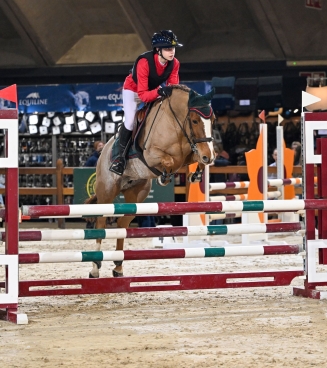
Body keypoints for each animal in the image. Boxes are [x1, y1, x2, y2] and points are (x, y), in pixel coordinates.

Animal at [86, 83, 217, 278]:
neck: (174, 121)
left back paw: (118, 267)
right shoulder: (152, 155)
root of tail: (102, 153)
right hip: (107, 191)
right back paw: (95, 268)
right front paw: (165, 176)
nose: (210, 156)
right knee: (101, 223)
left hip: (136, 194)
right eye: (194, 121)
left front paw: (197, 174)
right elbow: (169, 161)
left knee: (122, 223)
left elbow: (194, 158)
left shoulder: (188, 154)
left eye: (213, 120)